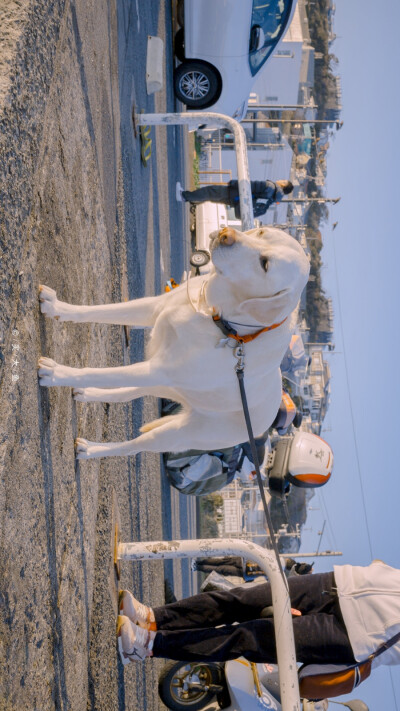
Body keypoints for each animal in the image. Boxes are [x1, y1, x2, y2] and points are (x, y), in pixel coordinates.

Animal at [39, 229, 310, 462]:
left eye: (265, 264)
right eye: (262, 232)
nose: (226, 233)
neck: (214, 314)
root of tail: (266, 426)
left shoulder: (158, 369)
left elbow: (93, 372)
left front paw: (55, 373)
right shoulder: (152, 309)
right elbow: (99, 312)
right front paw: (57, 307)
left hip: (177, 431)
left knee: (134, 447)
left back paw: (92, 450)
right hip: (167, 386)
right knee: (126, 392)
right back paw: (88, 394)